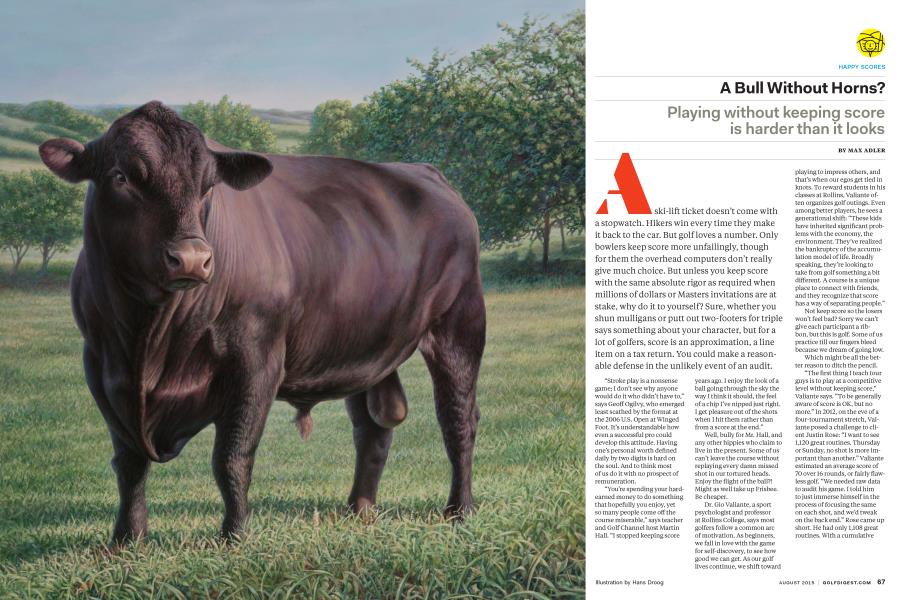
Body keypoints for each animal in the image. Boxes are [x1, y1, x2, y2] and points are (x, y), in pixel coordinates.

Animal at [38, 101, 485, 544]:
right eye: (121, 177)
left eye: (208, 186)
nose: (192, 259)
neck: (150, 338)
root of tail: (426, 172)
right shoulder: (104, 369)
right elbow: (130, 462)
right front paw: (126, 540)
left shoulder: (256, 362)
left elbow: (232, 457)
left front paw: (234, 536)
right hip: (366, 345)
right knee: (373, 428)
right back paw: (360, 509)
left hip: (460, 324)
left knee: (458, 418)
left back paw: (459, 510)